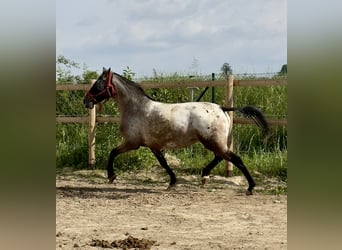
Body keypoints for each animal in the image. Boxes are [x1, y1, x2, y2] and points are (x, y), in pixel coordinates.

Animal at [83, 67, 270, 194]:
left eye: (98, 85)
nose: (86, 101)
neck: (137, 109)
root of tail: (222, 108)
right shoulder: (153, 145)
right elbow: (164, 163)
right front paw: (172, 182)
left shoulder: (132, 143)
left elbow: (113, 152)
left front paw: (111, 176)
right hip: (213, 142)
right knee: (220, 157)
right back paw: (204, 177)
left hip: (212, 141)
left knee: (234, 158)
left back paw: (250, 187)